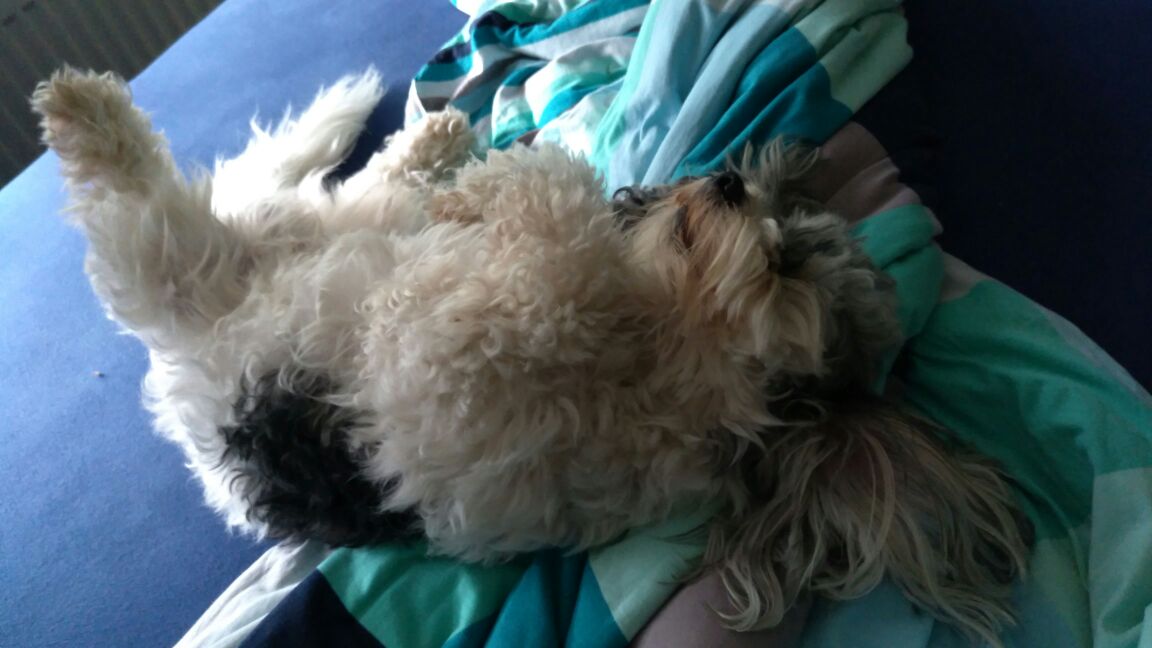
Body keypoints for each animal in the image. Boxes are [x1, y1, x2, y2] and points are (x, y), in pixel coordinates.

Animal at [33, 67, 1029, 645]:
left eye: (787, 263)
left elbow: (554, 220)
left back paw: (81, 106)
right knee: (331, 182)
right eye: (766, 210)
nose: (726, 182)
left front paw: (527, 191)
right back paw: (432, 141)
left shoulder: (476, 347)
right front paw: (496, 187)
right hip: (301, 232)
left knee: (140, 203)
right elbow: (550, 201)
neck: (651, 338)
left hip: (175, 268)